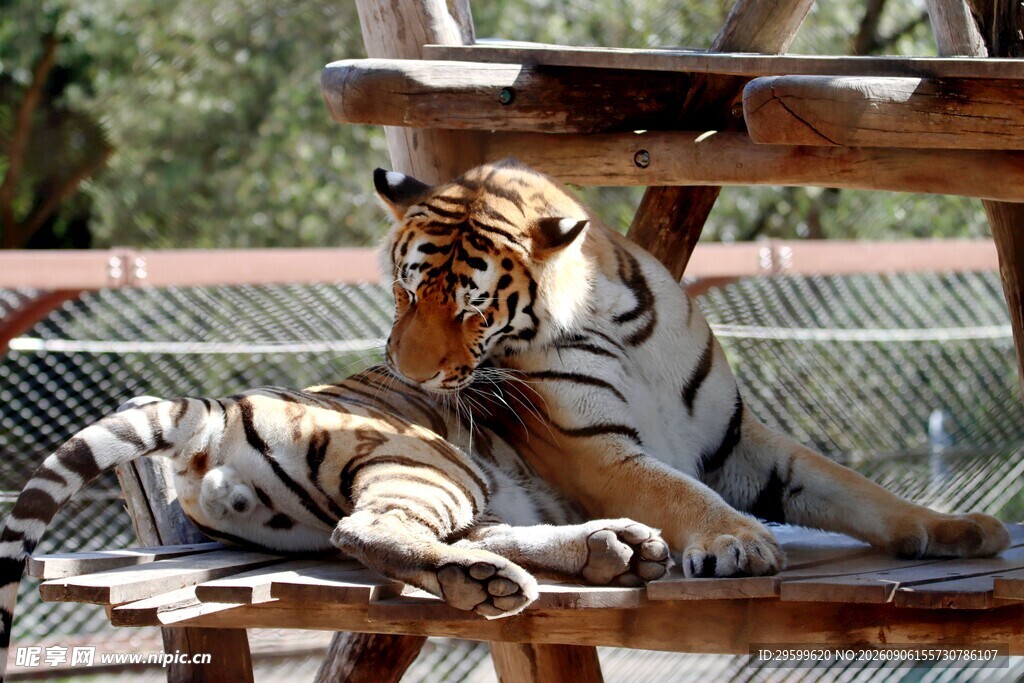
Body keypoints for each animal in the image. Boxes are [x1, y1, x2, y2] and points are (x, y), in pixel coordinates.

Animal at [374, 158, 1010, 580]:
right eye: (406, 294)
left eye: (473, 311)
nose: (409, 375)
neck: (609, 316)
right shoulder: (593, 450)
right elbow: (677, 491)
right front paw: (739, 540)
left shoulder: (736, 440)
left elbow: (855, 488)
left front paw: (959, 527)